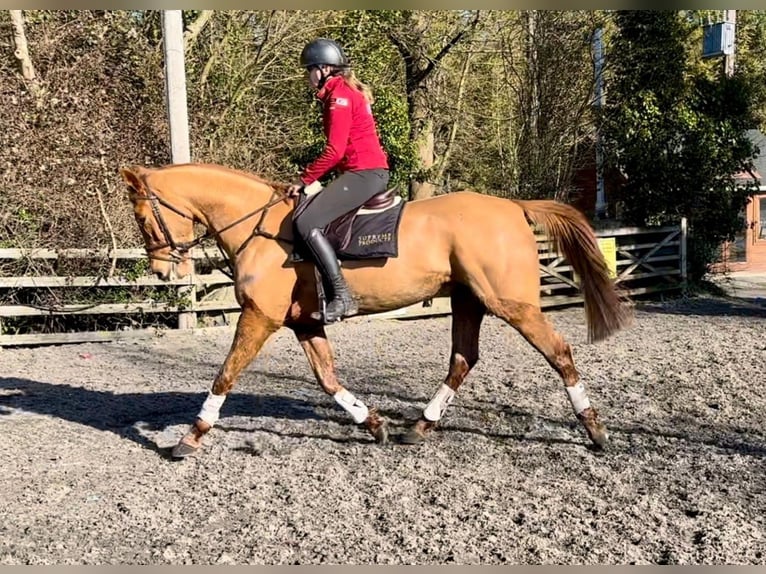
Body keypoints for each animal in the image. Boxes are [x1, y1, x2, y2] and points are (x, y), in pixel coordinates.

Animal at [120, 162, 632, 460]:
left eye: (143, 218)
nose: (162, 271)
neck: (259, 228)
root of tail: (511, 206)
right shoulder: (304, 323)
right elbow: (328, 379)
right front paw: (373, 424)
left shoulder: (260, 318)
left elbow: (225, 374)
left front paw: (191, 436)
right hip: (468, 300)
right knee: (463, 359)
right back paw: (419, 427)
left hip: (511, 304)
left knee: (559, 352)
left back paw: (596, 431)